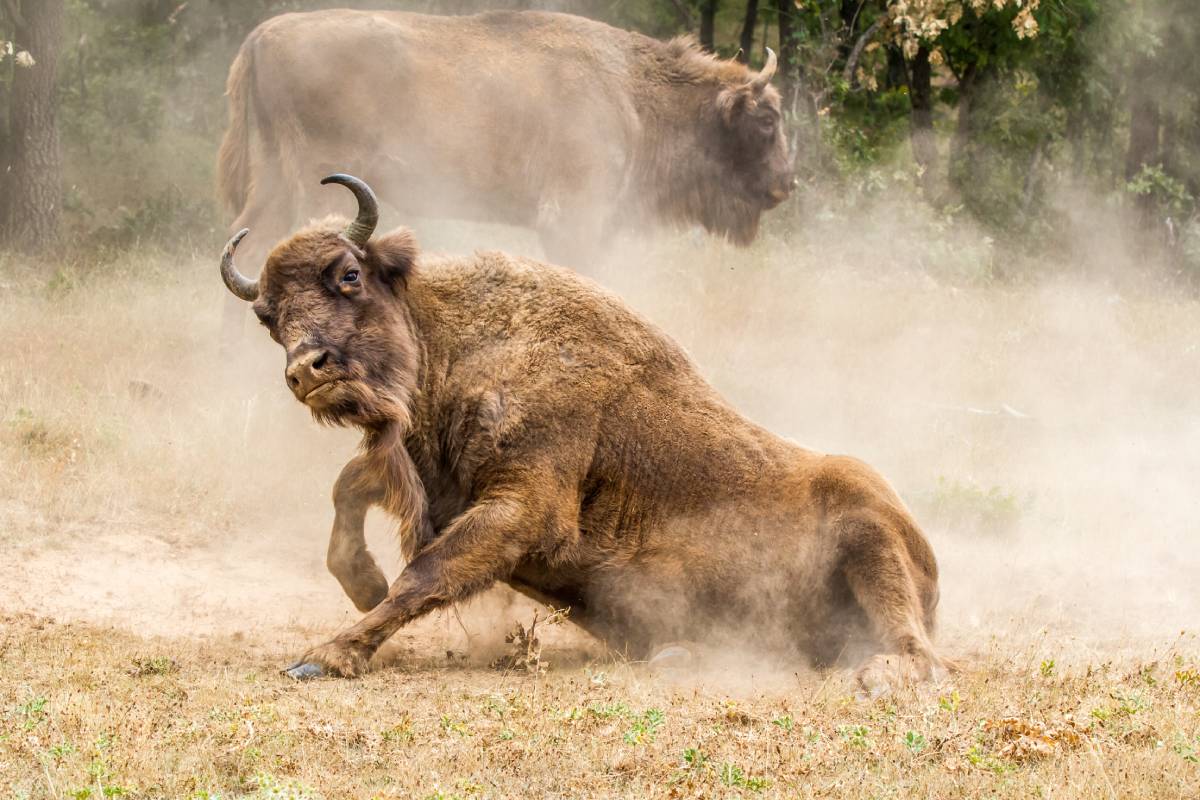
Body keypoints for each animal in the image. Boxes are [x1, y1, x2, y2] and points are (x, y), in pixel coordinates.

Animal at [219, 175, 947, 696]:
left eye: (349, 275)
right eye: (267, 317)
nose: (305, 371)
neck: (457, 340)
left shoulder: (523, 509)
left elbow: (427, 572)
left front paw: (323, 656)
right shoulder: (434, 482)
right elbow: (350, 492)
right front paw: (362, 584)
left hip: (871, 538)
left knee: (920, 650)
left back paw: (879, 677)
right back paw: (679, 653)